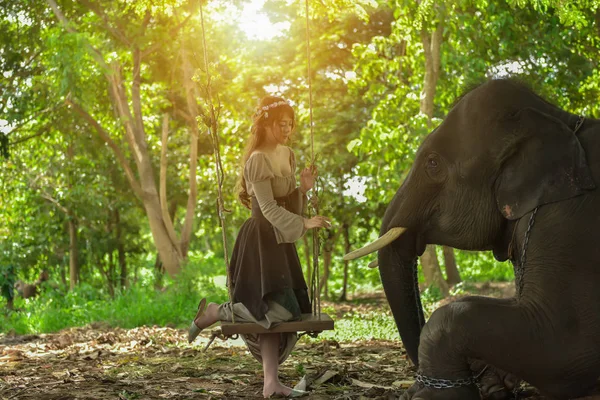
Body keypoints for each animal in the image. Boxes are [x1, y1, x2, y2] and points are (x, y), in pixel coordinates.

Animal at [344, 79, 596, 400]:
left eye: (433, 163)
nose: (413, 380)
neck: (559, 118)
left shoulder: (567, 221)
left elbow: (566, 347)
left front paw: (430, 395)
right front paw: (492, 383)